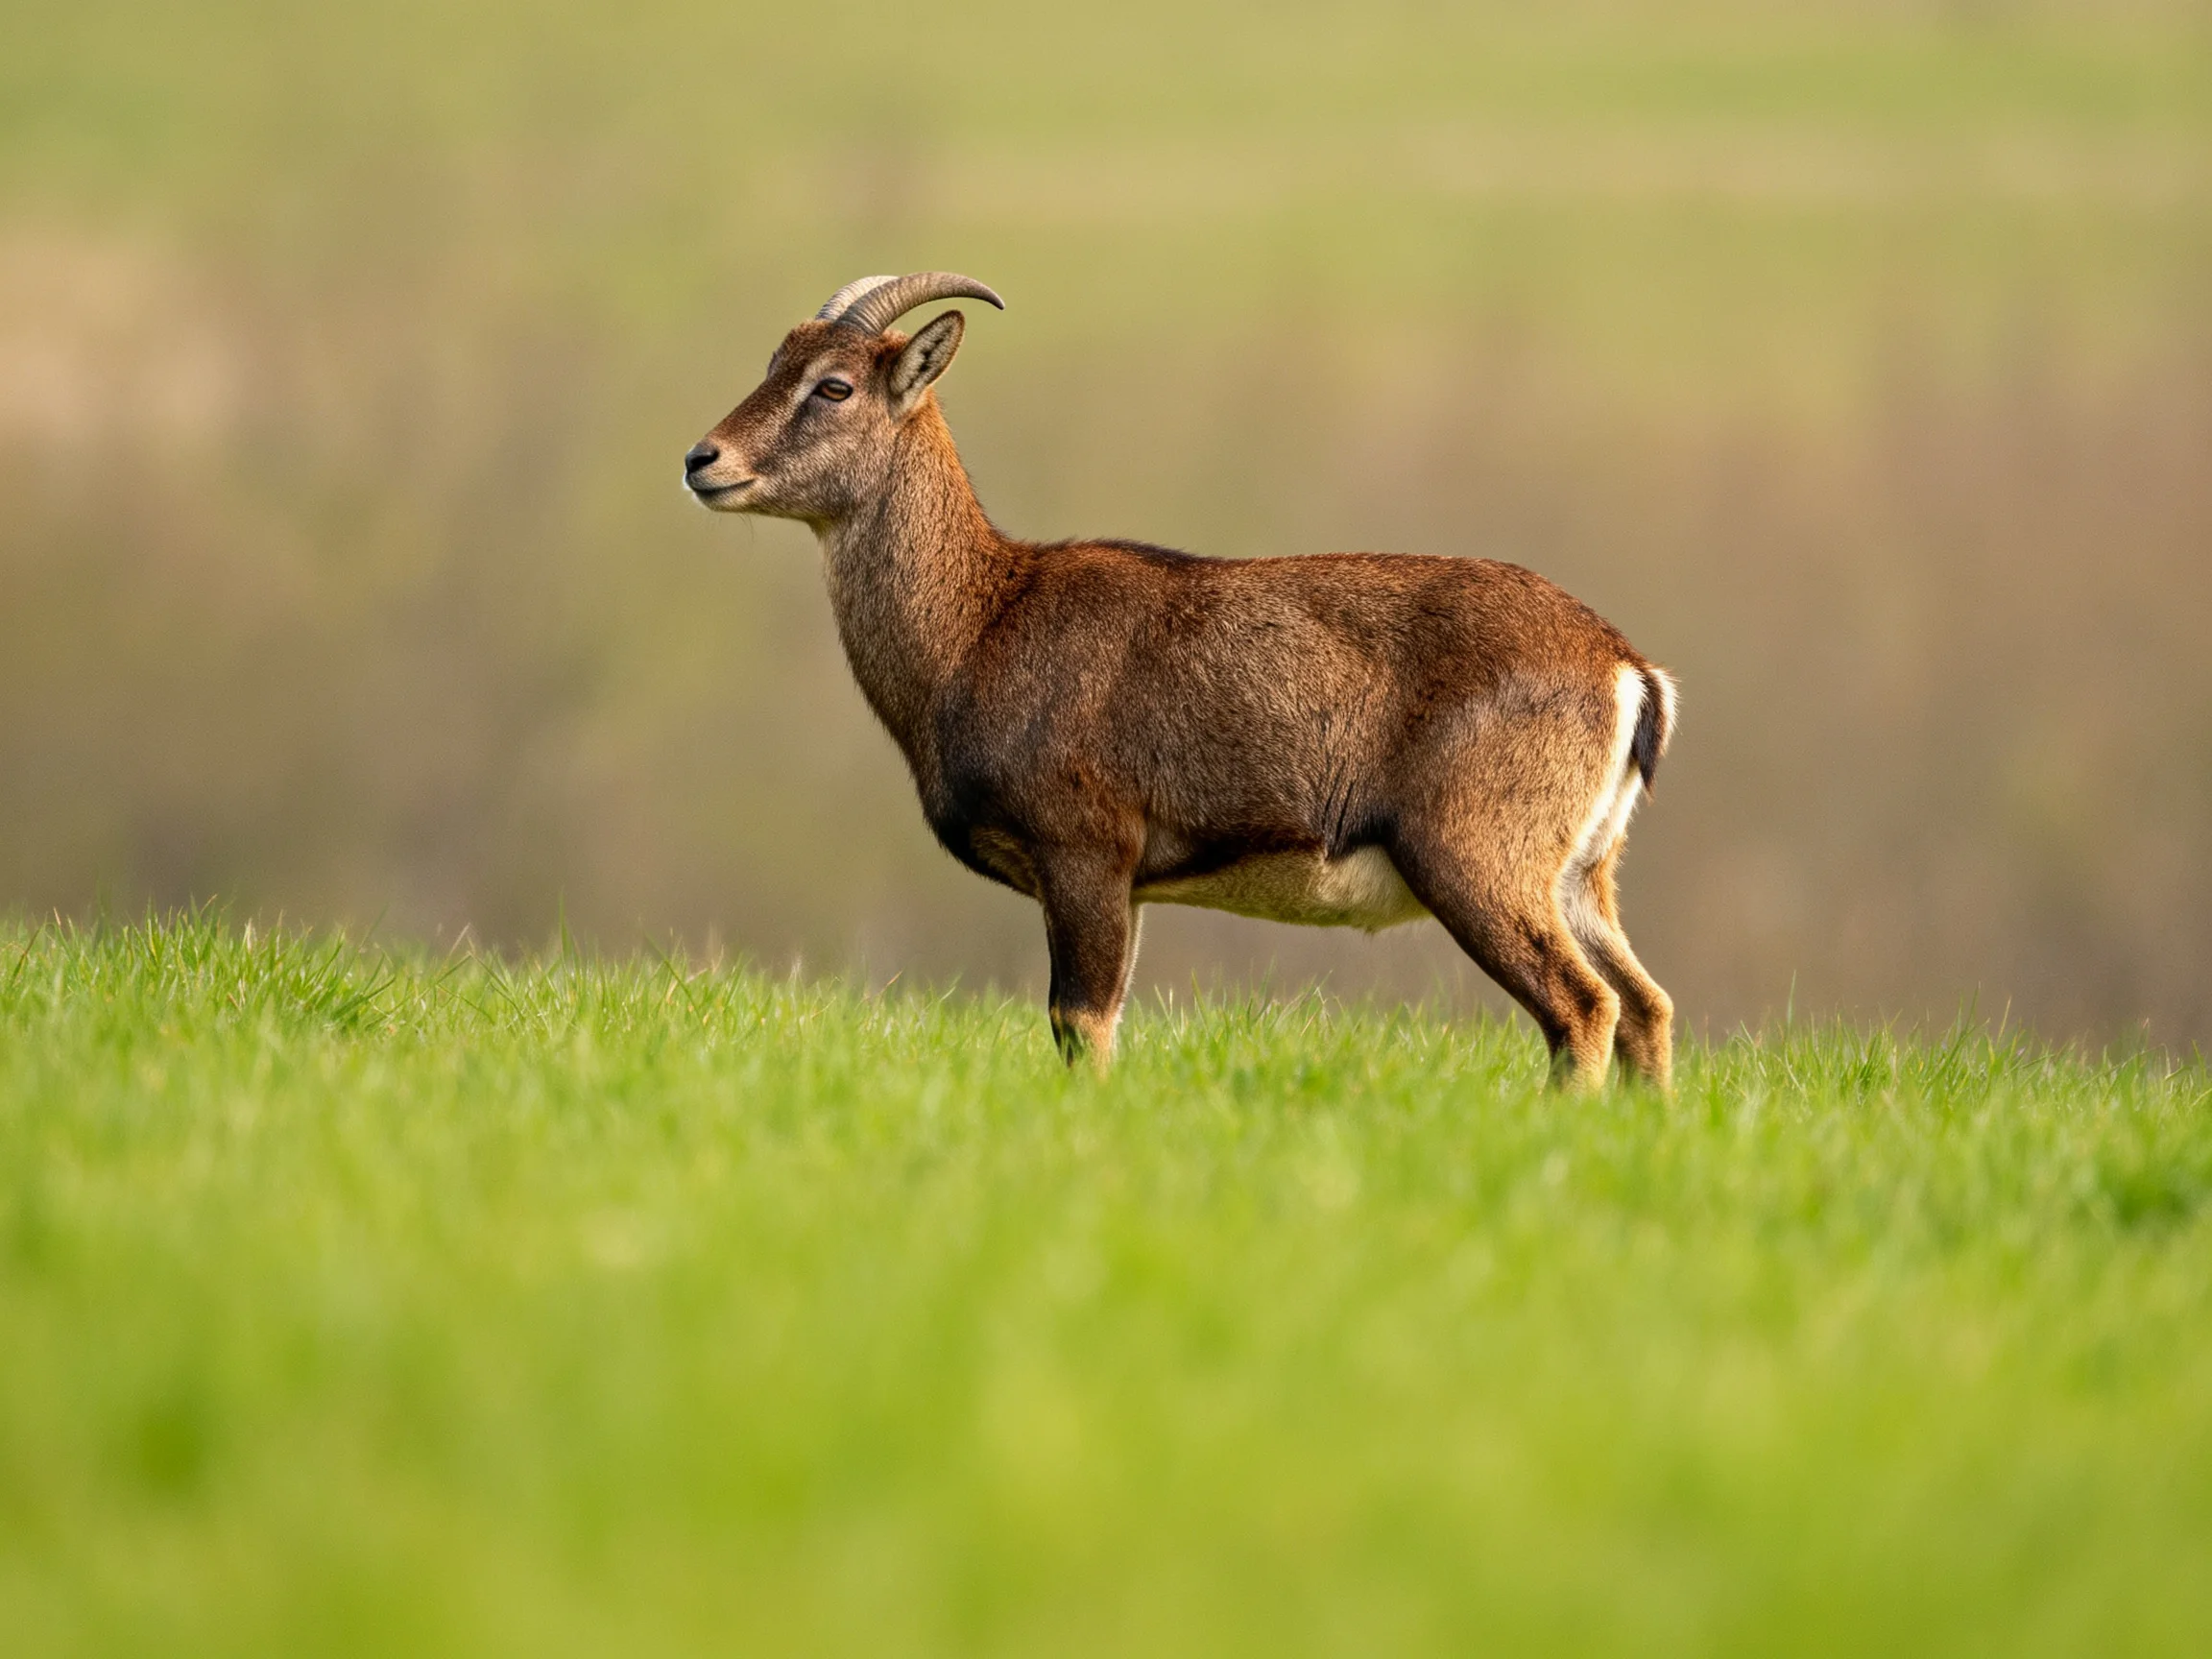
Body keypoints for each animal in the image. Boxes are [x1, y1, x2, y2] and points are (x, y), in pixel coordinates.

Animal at [685, 273, 1678, 1088]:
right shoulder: (1126, 882)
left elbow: (1080, 1021)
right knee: (1646, 1005)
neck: (980, 627)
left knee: (1582, 1007)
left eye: (834, 385)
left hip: (1478, 859)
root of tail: (1627, 670)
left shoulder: (1087, 850)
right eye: (776, 364)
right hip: (1581, 873)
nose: (703, 461)